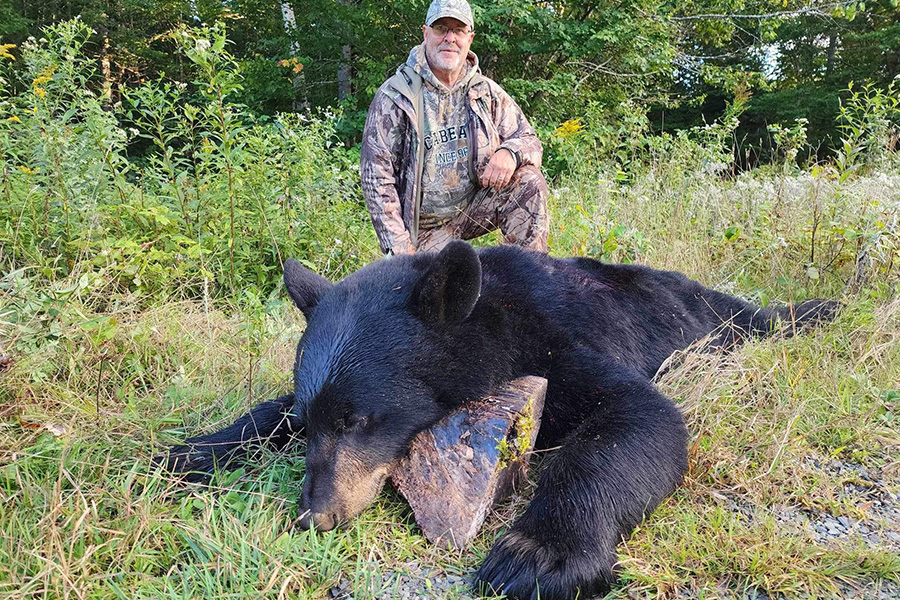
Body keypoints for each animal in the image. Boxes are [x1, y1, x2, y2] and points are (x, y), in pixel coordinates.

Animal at [160, 241, 836, 596]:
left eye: (359, 419)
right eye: (314, 420)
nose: (317, 513)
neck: (491, 321)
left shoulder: (554, 344)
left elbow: (640, 417)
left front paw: (536, 555)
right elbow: (265, 415)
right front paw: (192, 451)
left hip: (715, 323)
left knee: (757, 321)